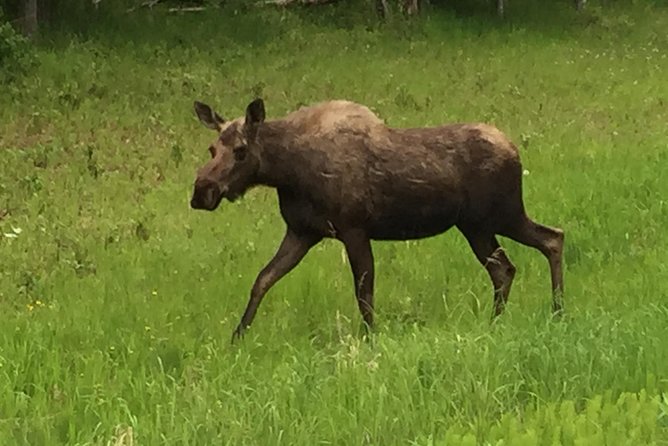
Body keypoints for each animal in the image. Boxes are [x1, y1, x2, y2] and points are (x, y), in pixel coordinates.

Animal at [189, 97, 565, 341]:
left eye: (240, 151)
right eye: (212, 149)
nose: (201, 192)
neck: (288, 172)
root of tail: (515, 150)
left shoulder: (354, 229)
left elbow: (364, 293)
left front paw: (371, 339)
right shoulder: (302, 232)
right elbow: (262, 280)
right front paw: (237, 337)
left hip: (501, 215)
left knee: (551, 238)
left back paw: (555, 312)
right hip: (477, 226)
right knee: (508, 266)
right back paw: (505, 320)